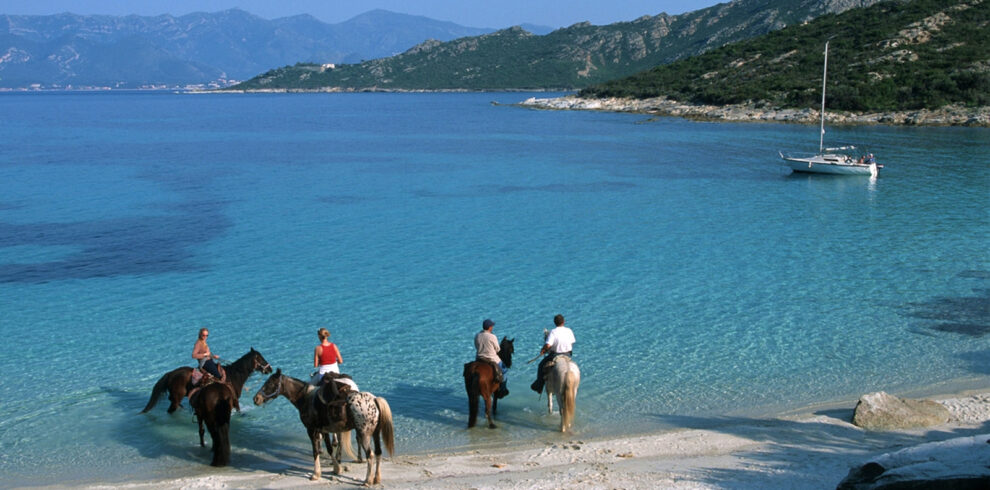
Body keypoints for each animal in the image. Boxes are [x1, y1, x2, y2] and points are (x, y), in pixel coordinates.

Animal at [140, 348, 272, 414]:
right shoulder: (234, 399)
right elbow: (239, 410)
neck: (234, 375)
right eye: (261, 358)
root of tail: (170, 374)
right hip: (177, 397)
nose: (270, 369)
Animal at [253, 369, 395, 485]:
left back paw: (367, 481)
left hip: (364, 434)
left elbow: (315, 451)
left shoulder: (311, 430)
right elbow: (330, 449)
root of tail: (374, 400)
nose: (256, 399)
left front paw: (316, 474)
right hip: (375, 433)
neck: (305, 398)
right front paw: (336, 469)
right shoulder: (324, 430)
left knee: (370, 455)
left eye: (269, 384)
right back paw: (376, 479)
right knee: (378, 453)